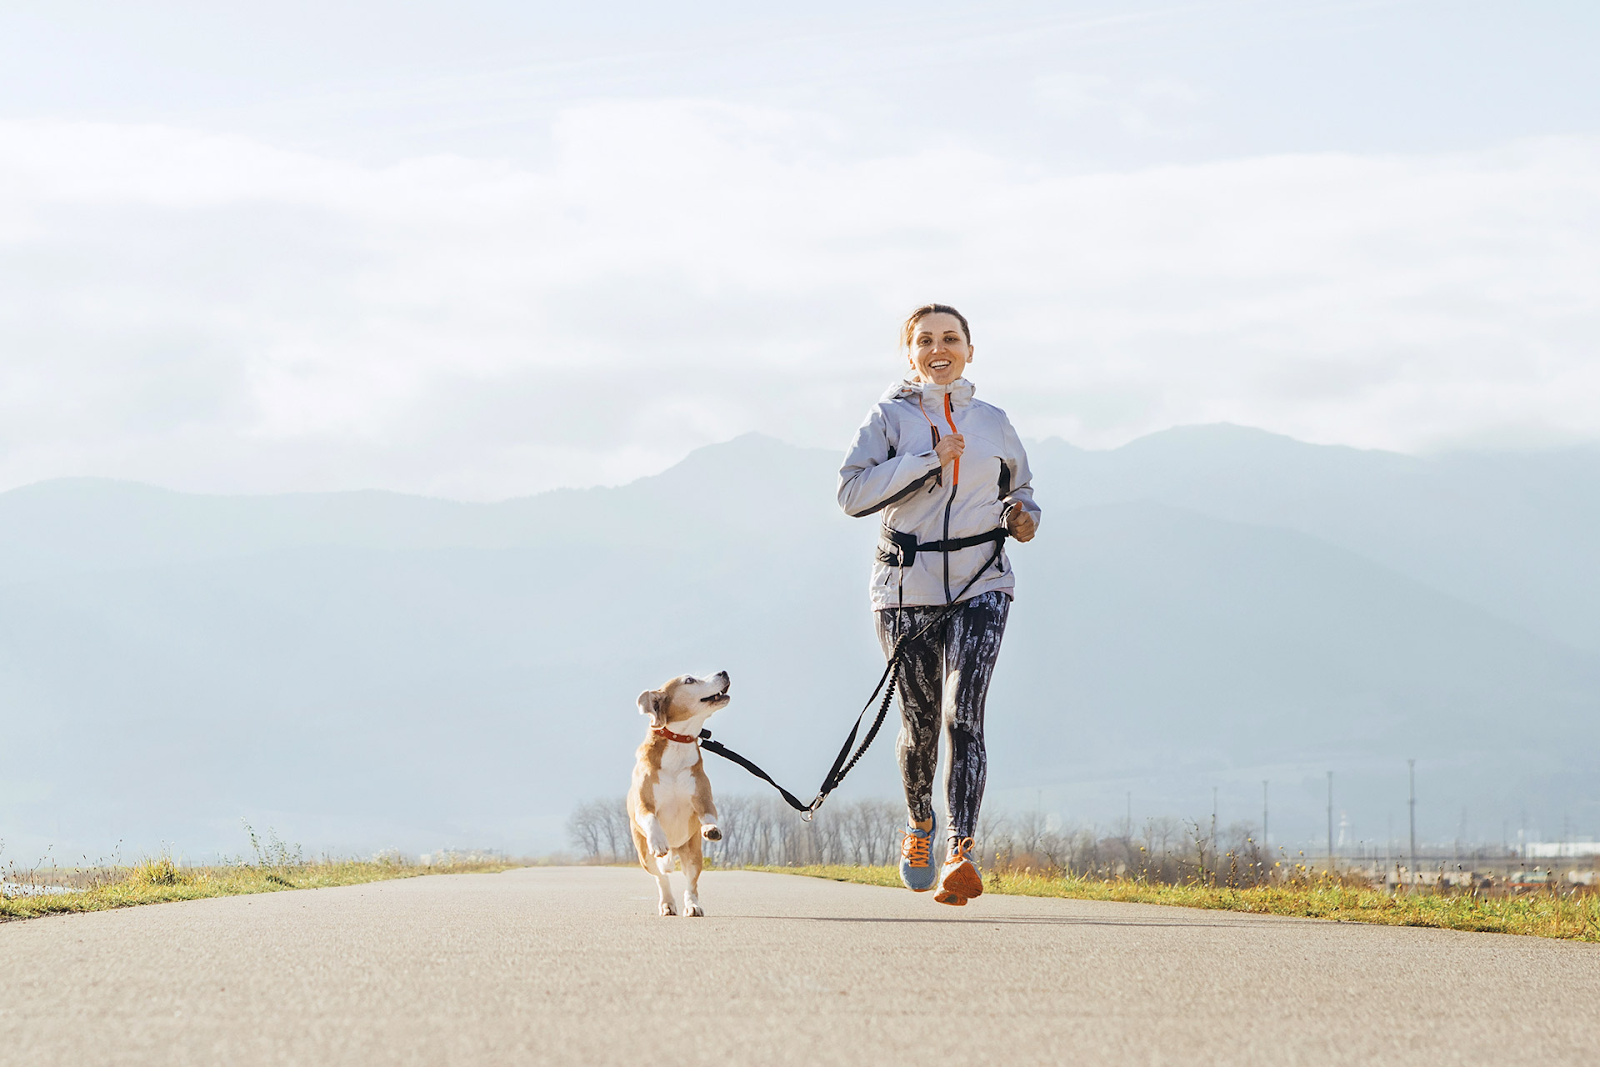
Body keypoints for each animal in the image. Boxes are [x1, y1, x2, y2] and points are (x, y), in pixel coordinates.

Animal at [624, 671, 732, 915]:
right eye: (689, 680)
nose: (723, 672)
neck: (678, 743)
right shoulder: (643, 804)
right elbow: (650, 818)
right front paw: (658, 840)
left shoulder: (702, 798)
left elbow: (709, 813)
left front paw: (711, 829)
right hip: (645, 857)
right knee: (661, 878)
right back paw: (667, 903)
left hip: (693, 853)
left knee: (691, 883)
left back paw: (692, 906)